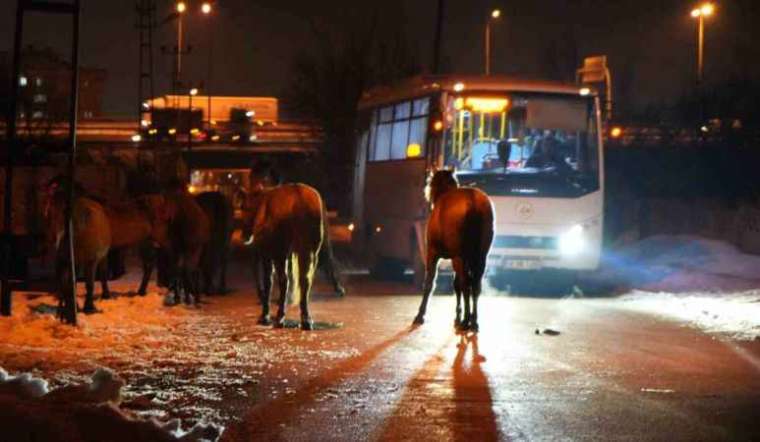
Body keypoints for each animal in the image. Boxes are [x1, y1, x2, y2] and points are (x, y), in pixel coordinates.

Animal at [412, 169, 496, 332]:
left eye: (431, 181)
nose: (428, 195)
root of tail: (474, 203)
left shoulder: (432, 253)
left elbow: (429, 282)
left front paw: (420, 315)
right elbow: (456, 285)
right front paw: (458, 316)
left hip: (460, 256)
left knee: (466, 285)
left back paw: (466, 321)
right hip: (480, 257)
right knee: (474, 285)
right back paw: (473, 321)